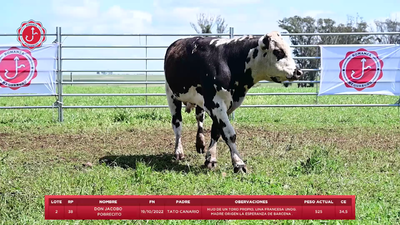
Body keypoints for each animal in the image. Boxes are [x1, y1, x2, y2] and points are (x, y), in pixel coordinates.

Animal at [164, 31, 302, 172]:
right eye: (278, 51)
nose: (298, 72)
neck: (230, 61)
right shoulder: (216, 104)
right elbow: (230, 134)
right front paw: (238, 163)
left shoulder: (227, 105)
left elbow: (216, 132)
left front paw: (211, 158)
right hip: (172, 96)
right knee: (177, 125)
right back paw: (178, 152)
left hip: (199, 102)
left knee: (199, 119)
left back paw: (200, 143)